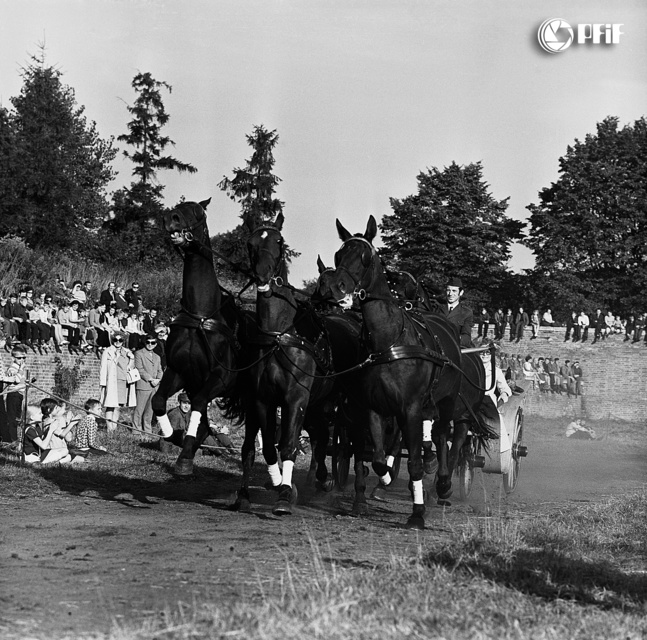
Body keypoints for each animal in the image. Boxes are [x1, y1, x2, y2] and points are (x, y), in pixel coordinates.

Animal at [152, 200, 246, 476]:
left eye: (198, 212)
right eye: (178, 207)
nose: (169, 218)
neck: (201, 316)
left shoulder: (220, 379)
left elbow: (199, 405)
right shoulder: (179, 372)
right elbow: (159, 401)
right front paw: (175, 438)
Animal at [221, 214, 364, 516]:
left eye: (279, 241)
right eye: (250, 243)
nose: (263, 276)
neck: (279, 336)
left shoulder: (295, 397)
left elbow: (288, 445)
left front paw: (285, 495)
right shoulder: (262, 399)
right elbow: (267, 448)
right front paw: (271, 486)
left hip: (341, 405)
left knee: (344, 440)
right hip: (319, 404)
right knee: (320, 436)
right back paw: (320, 479)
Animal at [332, 218, 468, 528]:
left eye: (364, 257)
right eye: (338, 254)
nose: (337, 286)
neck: (389, 342)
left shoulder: (411, 407)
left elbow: (415, 461)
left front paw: (417, 513)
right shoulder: (372, 406)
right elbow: (378, 457)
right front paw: (380, 480)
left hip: (447, 401)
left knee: (443, 439)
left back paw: (442, 483)